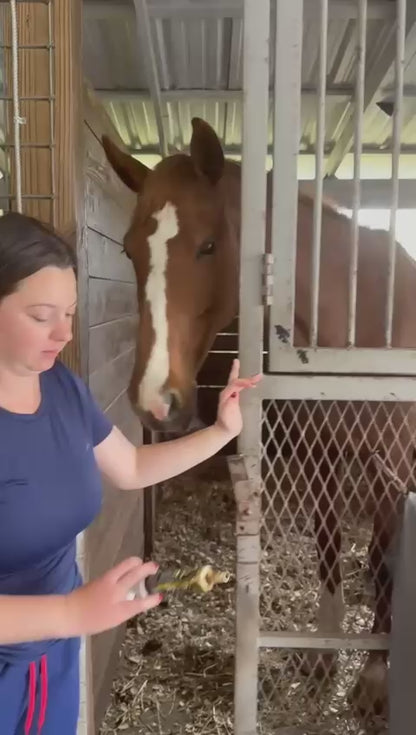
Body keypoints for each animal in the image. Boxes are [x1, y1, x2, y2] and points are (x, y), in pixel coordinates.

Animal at [101, 118, 416, 717]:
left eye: (208, 245)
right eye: (129, 251)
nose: (155, 400)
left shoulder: (392, 466)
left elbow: (386, 564)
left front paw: (372, 678)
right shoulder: (321, 455)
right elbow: (328, 548)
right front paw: (322, 656)